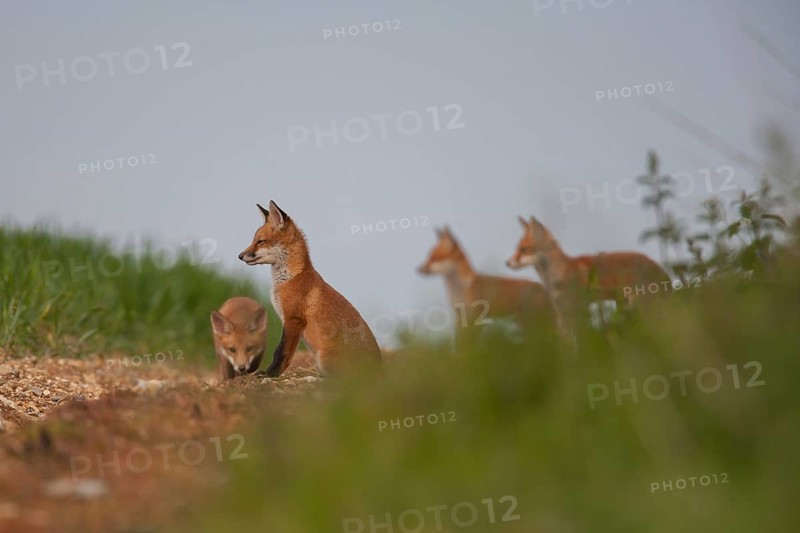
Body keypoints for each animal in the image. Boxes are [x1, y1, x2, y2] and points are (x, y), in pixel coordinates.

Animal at [238, 201, 382, 377]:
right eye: (253, 241)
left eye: (260, 241)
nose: (240, 255)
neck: (288, 278)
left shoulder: (293, 319)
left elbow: (281, 353)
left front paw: (270, 374)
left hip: (324, 358)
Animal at [418, 226, 553, 344]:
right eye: (428, 257)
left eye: (434, 258)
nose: (418, 269)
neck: (460, 290)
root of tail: (542, 287)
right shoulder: (460, 319)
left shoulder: (476, 319)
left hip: (528, 324)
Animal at [506, 216, 670, 334]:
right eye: (517, 249)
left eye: (524, 250)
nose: (507, 263)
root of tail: (657, 265)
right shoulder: (562, 312)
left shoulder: (577, 308)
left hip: (642, 309)